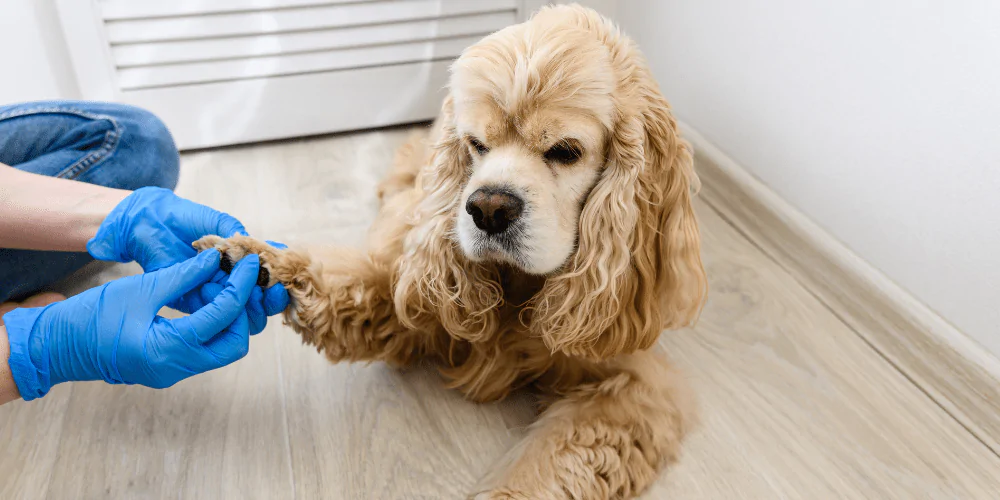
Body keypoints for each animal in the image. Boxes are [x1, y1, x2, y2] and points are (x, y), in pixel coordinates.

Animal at [195, 4, 708, 500]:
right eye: (476, 144)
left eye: (566, 150)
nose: (487, 209)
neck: (522, 286)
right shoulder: (413, 298)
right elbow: (344, 282)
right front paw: (253, 259)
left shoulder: (635, 386)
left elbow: (549, 465)